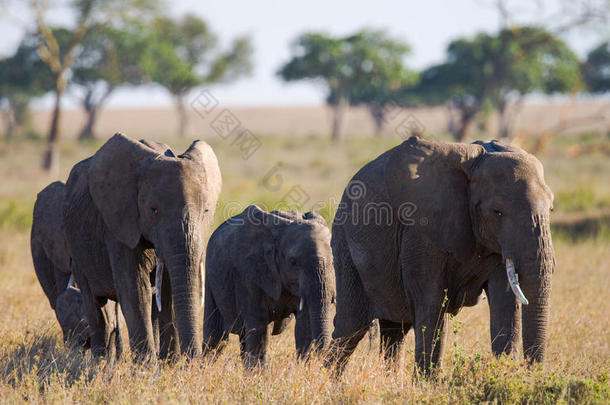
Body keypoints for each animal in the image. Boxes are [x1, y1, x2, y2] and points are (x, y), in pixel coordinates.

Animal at [63, 133, 221, 360]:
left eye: (206, 211)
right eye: (153, 210)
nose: (195, 362)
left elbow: (168, 294)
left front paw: (170, 365)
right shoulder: (119, 225)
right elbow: (135, 290)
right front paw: (148, 367)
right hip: (77, 247)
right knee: (96, 309)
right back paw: (99, 363)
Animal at [203, 207, 338, 368]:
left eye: (333, 262)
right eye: (293, 262)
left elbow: (304, 326)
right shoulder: (248, 273)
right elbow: (258, 327)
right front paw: (257, 374)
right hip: (210, 277)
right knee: (216, 337)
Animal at [330, 137, 552, 376]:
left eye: (551, 209)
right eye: (497, 212)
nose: (530, 372)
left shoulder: (499, 243)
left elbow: (506, 303)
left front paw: (504, 372)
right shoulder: (421, 232)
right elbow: (431, 303)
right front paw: (427, 383)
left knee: (395, 330)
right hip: (344, 244)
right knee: (350, 327)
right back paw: (329, 378)